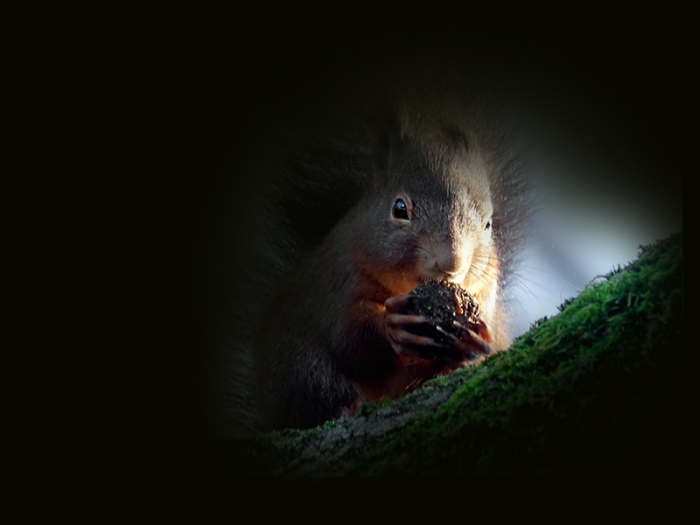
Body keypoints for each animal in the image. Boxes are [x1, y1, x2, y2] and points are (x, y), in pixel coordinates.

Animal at [252, 77, 532, 432]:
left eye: (488, 224)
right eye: (399, 209)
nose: (451, 264)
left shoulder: (486, 293)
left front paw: (472, 339)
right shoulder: (342, 279)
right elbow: (351, 336)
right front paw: (393, 327)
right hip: (298, 366)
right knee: (319, 392)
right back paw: (350, 407)